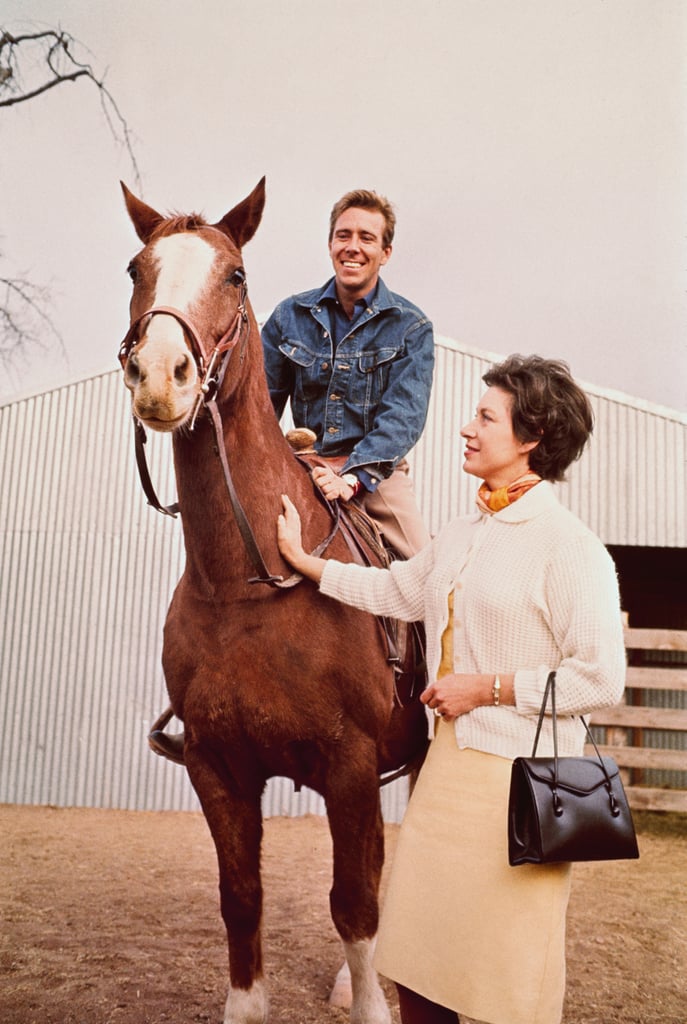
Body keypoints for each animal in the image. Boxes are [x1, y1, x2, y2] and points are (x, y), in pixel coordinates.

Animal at [118, 180, 430, 1024]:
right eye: (136, 269)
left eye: (235, 275)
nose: (160, 374)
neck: (245, 588)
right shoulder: (218, 768)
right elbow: (241, 899)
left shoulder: (350, 766)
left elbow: (353, 905)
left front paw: (370, 1002)